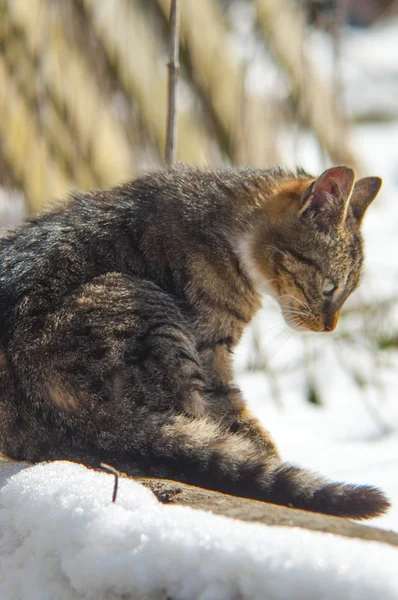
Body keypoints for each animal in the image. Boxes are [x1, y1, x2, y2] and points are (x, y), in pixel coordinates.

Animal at [0, 164, 388, 520]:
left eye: (348, 292)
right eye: (329, 288)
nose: (329, 327)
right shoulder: (210, 349)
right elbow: (236, 412)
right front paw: (266, 453)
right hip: (145, 309)